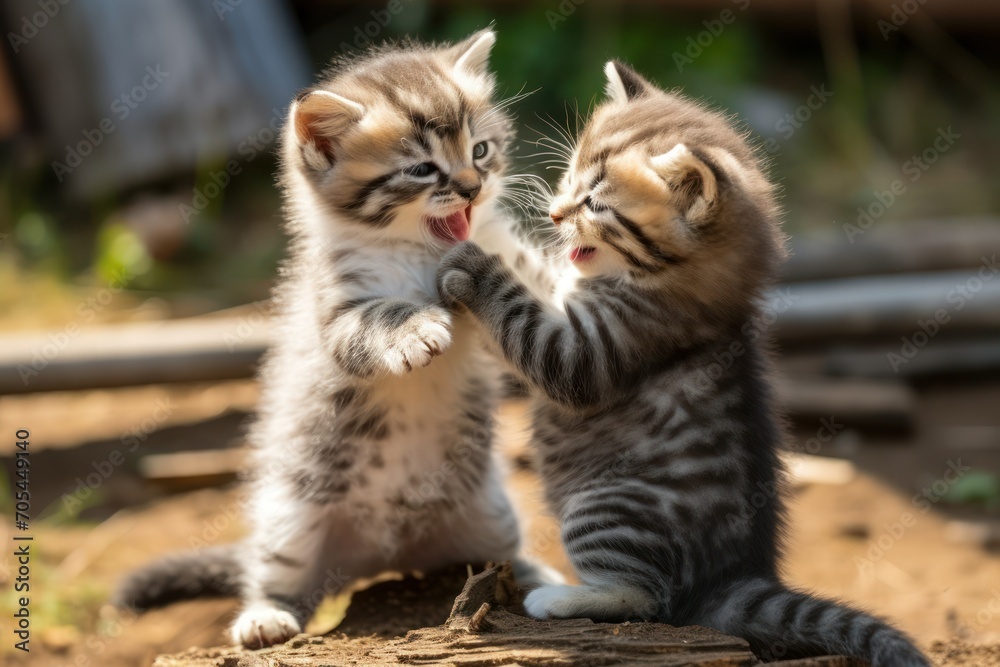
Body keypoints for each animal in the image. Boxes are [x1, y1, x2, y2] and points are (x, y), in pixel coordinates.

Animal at [116, 30, 560, 648]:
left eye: (480, 151)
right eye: (422, 169)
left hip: (491, 513)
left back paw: (540, 578)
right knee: (276, 578)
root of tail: (384, 555)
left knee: (500, 558)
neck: (421, 250)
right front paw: (416, 331)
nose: (474, 189)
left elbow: (540, 296)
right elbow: (377, 319)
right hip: (289, 521)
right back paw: (264, 617)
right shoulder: (338, 309)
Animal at [438, 60, 928, 664]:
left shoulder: (600, 350)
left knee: (649, 599)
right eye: (568, 180)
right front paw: (480, 219)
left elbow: (525, 324)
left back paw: (562, 598)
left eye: (596, 204)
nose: (553, 212)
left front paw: (472, 263)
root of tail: (729, 577)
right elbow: (529, 272)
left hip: (607, 506)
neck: (665, 282)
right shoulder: (562, 291)